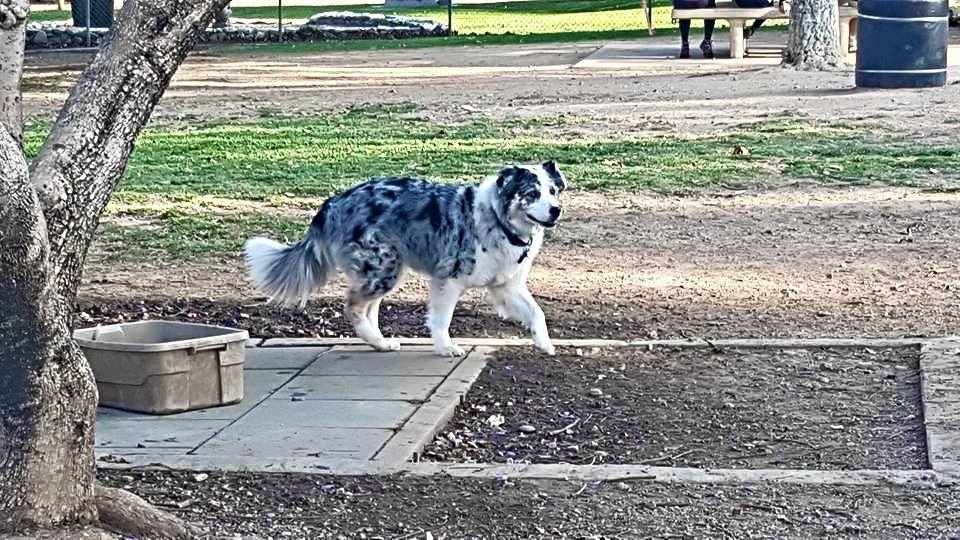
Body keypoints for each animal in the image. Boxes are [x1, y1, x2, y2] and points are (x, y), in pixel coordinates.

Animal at [244, 161, 566, 357]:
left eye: (553, 191)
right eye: (531, 193)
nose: (556, 210)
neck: (498, 219)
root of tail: (332, 203)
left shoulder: (506, 287)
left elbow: (537, 312)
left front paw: (545, 344)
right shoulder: (448, 279)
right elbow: (441, 318)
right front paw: (446, 348)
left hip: (385, 270)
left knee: (368, 308)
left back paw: (380, 342)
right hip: (383, 268)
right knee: (353, 306)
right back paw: (375, 339)